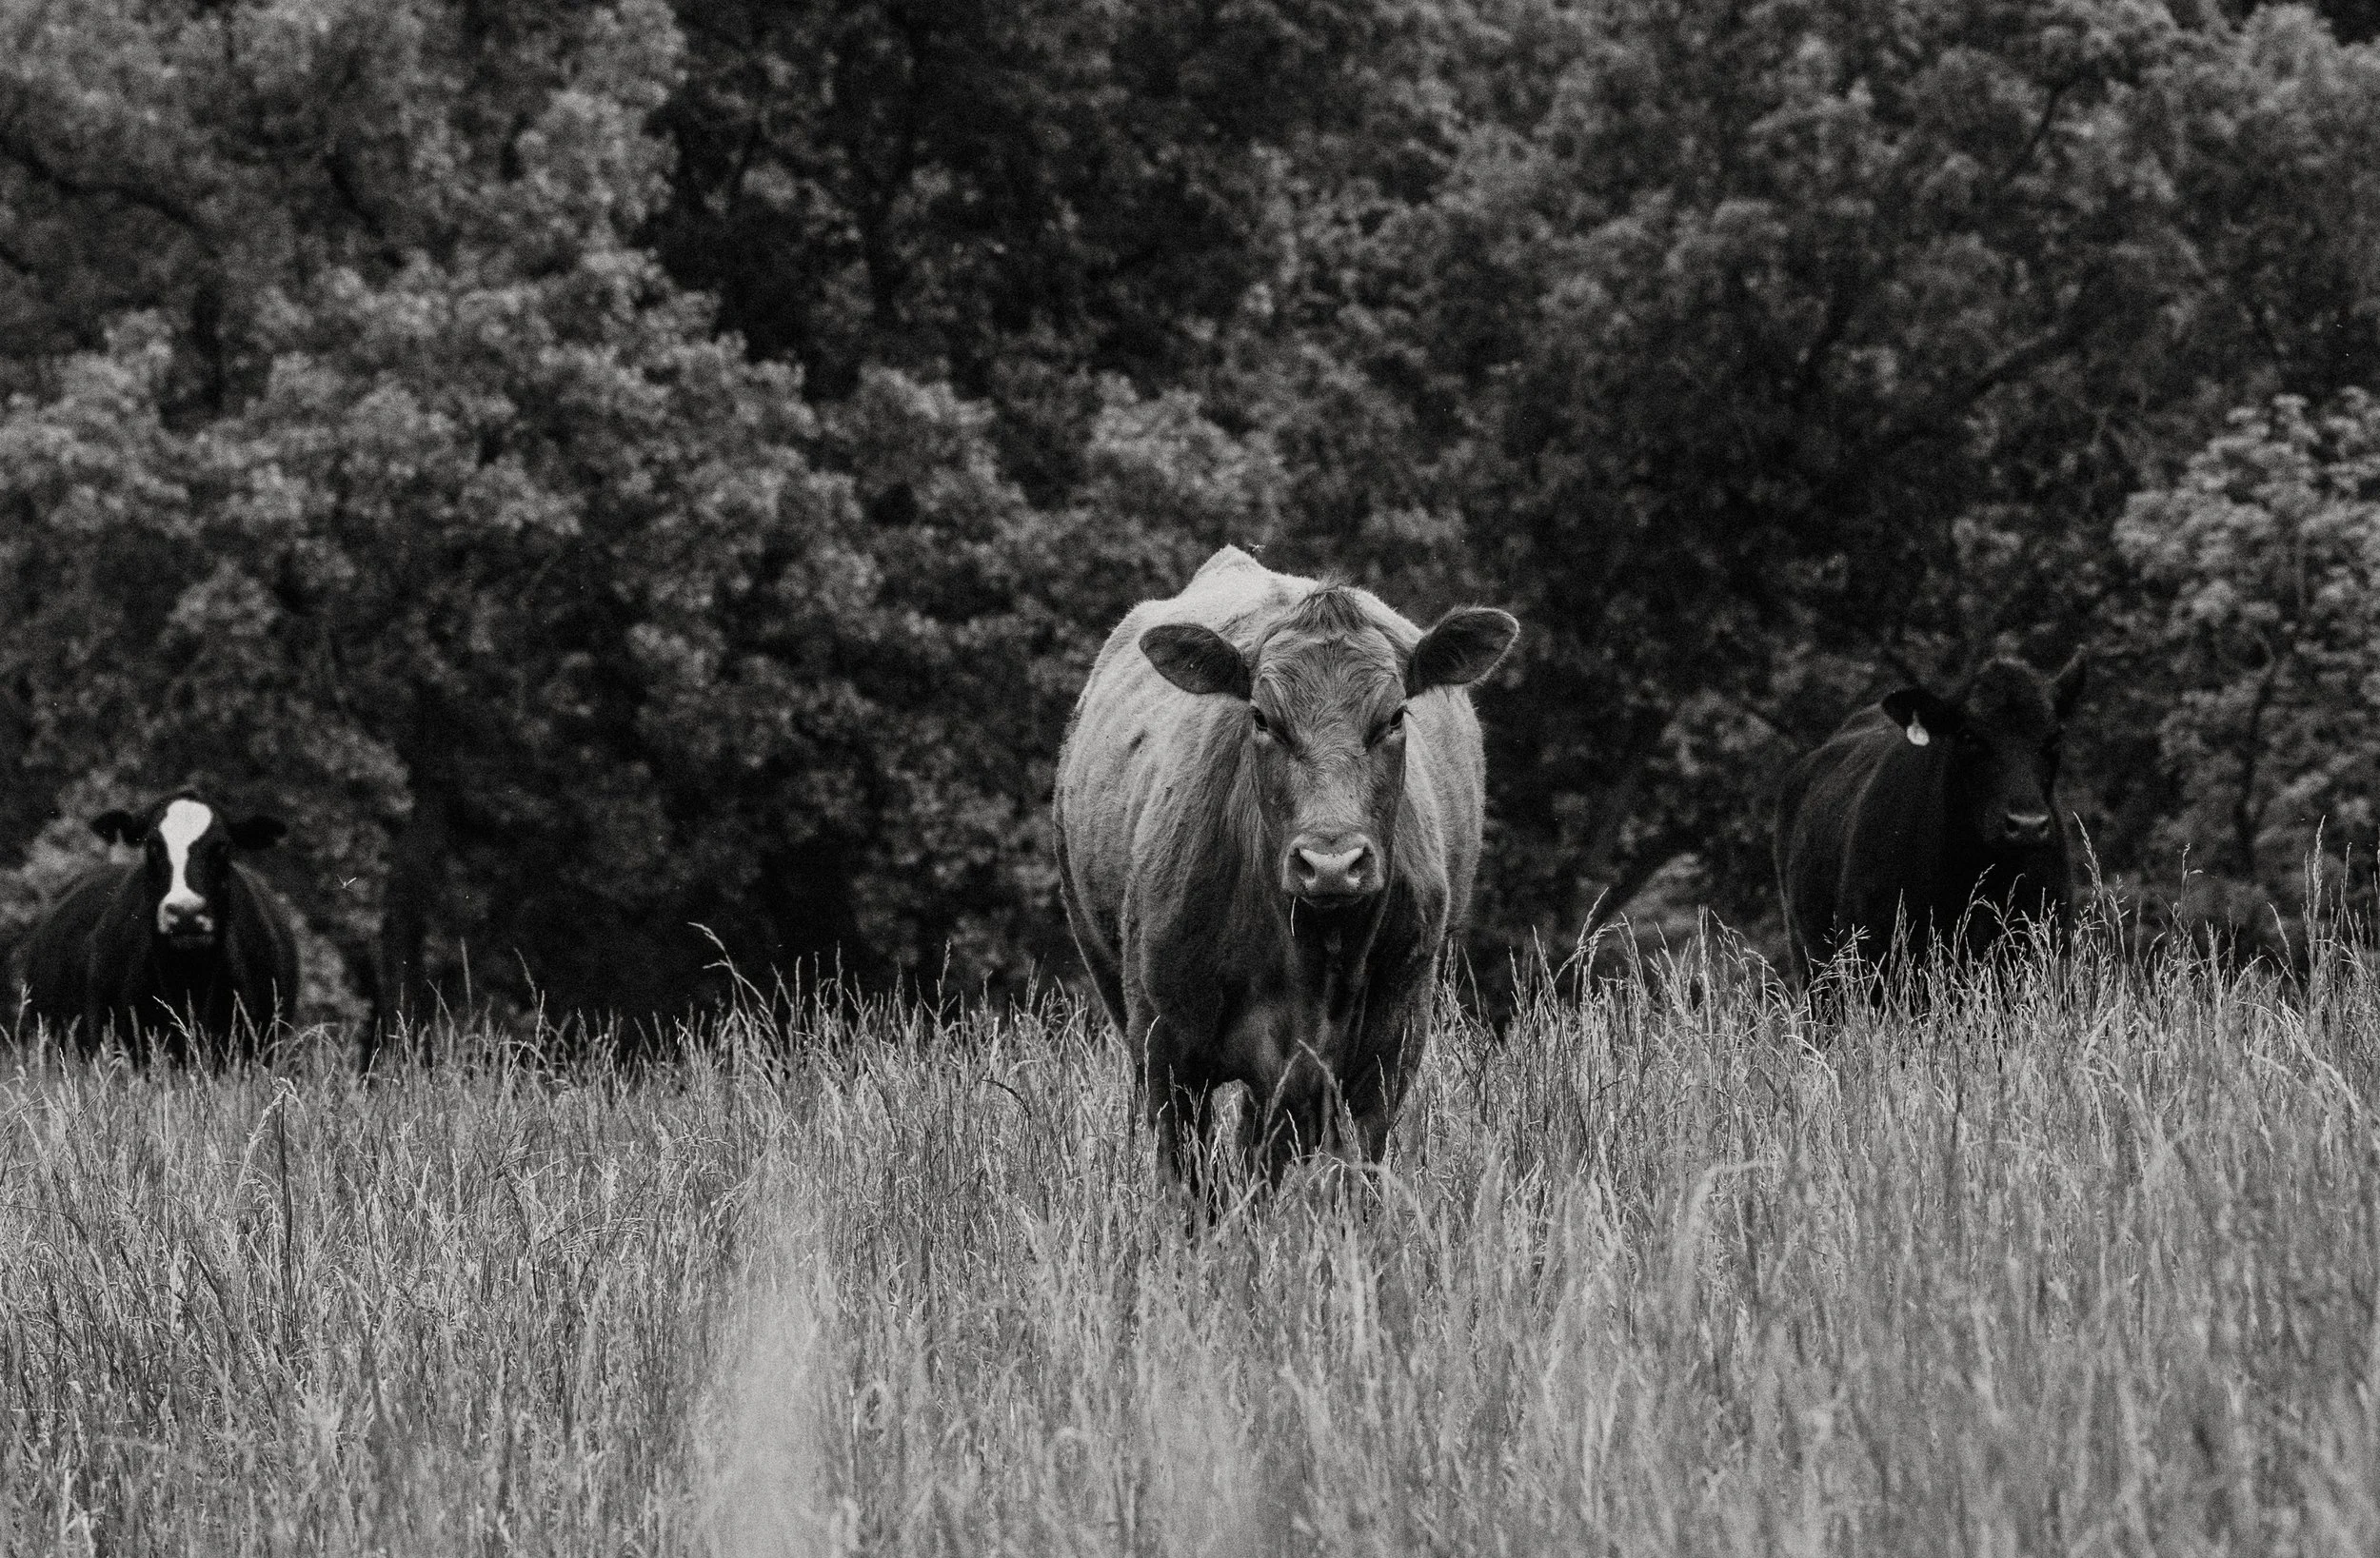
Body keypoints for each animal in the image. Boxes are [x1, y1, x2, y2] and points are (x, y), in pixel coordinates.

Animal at [1055, 546, 1518, 1197]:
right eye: (1262, 718)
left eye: (1395, 716)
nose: (1331, 863)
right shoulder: (1165, 1050)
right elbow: (1190, 1187)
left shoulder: (1390, 1046)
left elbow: (1354, 1176)